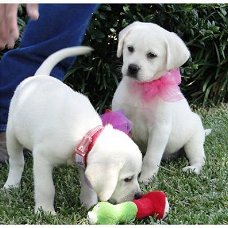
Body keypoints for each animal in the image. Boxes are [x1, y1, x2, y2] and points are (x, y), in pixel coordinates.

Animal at [3, 46, 142, 214]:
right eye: (127, 179)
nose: (139, 196)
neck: (83, 134)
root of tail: (39, 76)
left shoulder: (84, 163)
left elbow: (88, 187)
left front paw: (89, 205)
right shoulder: (42, 158)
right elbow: (46, 188)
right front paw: (45, 211)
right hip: (12, 134)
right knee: (17, 161)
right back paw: (11, 185)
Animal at [111, 21, 209, 183]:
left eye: (151, 55)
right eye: (130, 48)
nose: (132, 68)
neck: (143, 88)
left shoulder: (159, 129)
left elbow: (151, 158)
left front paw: (146, 178)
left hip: (193, 141)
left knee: (199, 158)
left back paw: (192, 169)